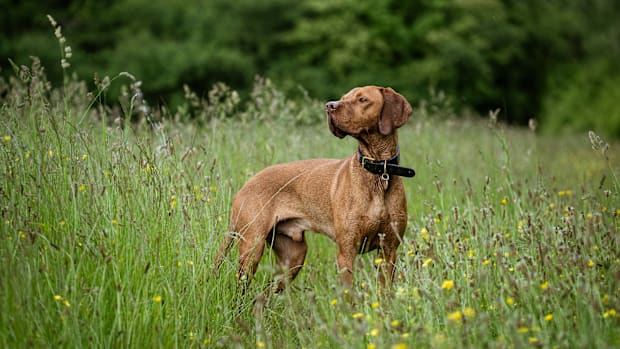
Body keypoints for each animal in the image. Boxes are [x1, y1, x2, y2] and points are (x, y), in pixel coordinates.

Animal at [214, 85, 416, 290]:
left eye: (362, 99)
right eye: (344, 97)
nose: (329, 106)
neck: (379, 170)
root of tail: (245, 185)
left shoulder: (388, 250)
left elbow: (385, 293)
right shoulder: (346, 251)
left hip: (292, 257)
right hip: (252, 248)